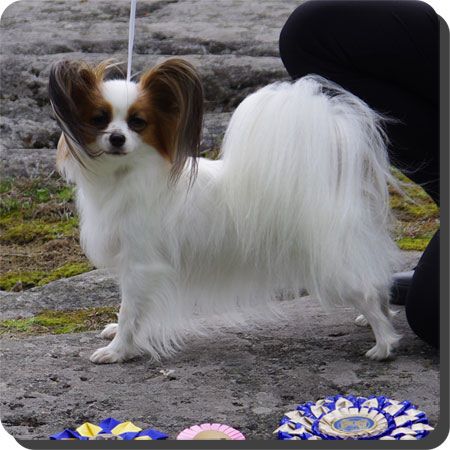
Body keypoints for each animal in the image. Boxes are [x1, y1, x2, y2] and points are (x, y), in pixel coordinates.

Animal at [48, 58, 401, 364]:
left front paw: (118, 350)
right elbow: (130, 307)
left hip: (332, 264)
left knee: (368, 291)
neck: (124, 175)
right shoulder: (133, 265)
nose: (118, 138)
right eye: (98, 119)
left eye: (138, 122)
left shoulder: (143, 264)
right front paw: (119, 334)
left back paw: (383, 344)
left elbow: (131, 310)